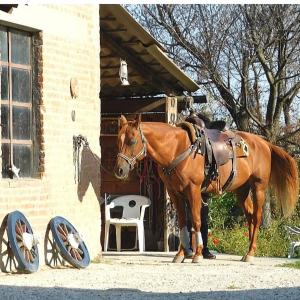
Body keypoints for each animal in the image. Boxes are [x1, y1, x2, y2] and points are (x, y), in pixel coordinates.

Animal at [113, 115, 298, 262]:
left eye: (132, 141)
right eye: (118, 141)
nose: (119, 170)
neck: (176, 149)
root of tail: (264, 143)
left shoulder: (193, 190)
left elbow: (196, 220)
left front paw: (197, 254)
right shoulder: (175, 193)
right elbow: (183, 223)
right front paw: (180, 254)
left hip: (258, 187)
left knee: (257, 218)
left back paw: (251, 253)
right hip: (242, 190)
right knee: (251, 217)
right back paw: (247, 252)